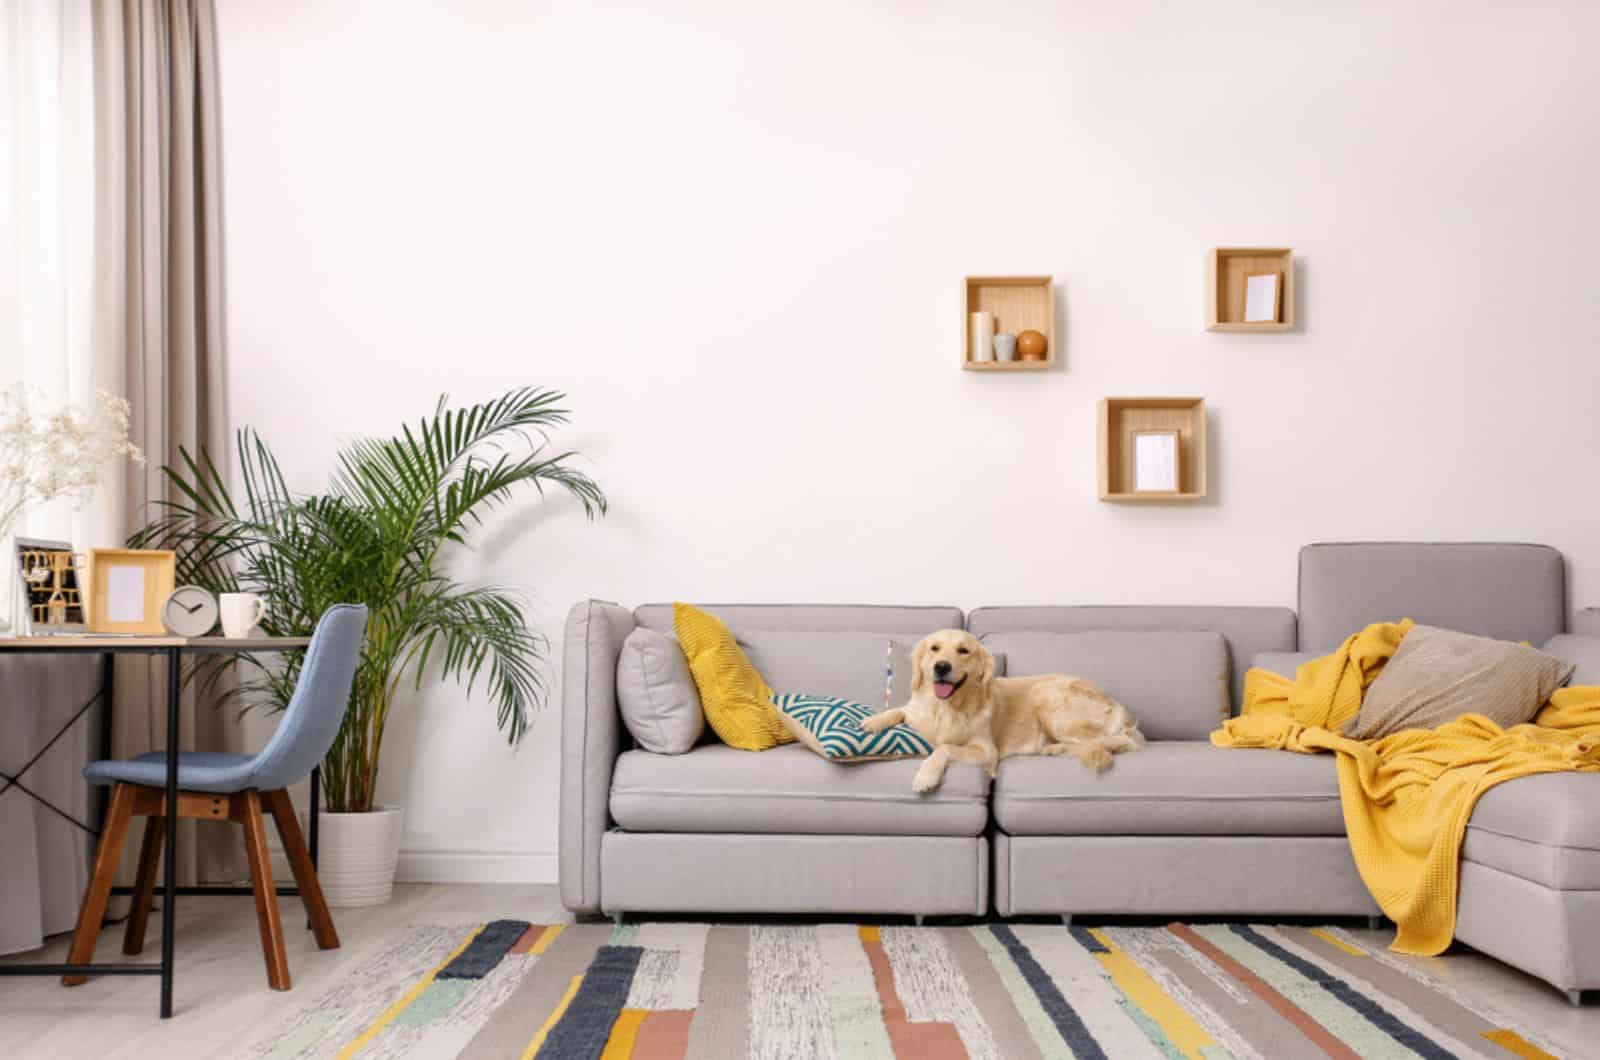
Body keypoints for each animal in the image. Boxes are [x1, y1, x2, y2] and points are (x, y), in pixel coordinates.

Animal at [870, 627, 1145, 794]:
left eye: (963, 651)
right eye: (934, 648)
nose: (942, 667)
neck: (946, 707)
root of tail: (1116, 704)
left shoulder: (987, 751)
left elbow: (944, 748)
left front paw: (926, 776)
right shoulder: (915, 712)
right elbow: (899, 710)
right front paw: (872, 722)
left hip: (1046, 694)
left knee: (1121, 742)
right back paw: (1054, 748)